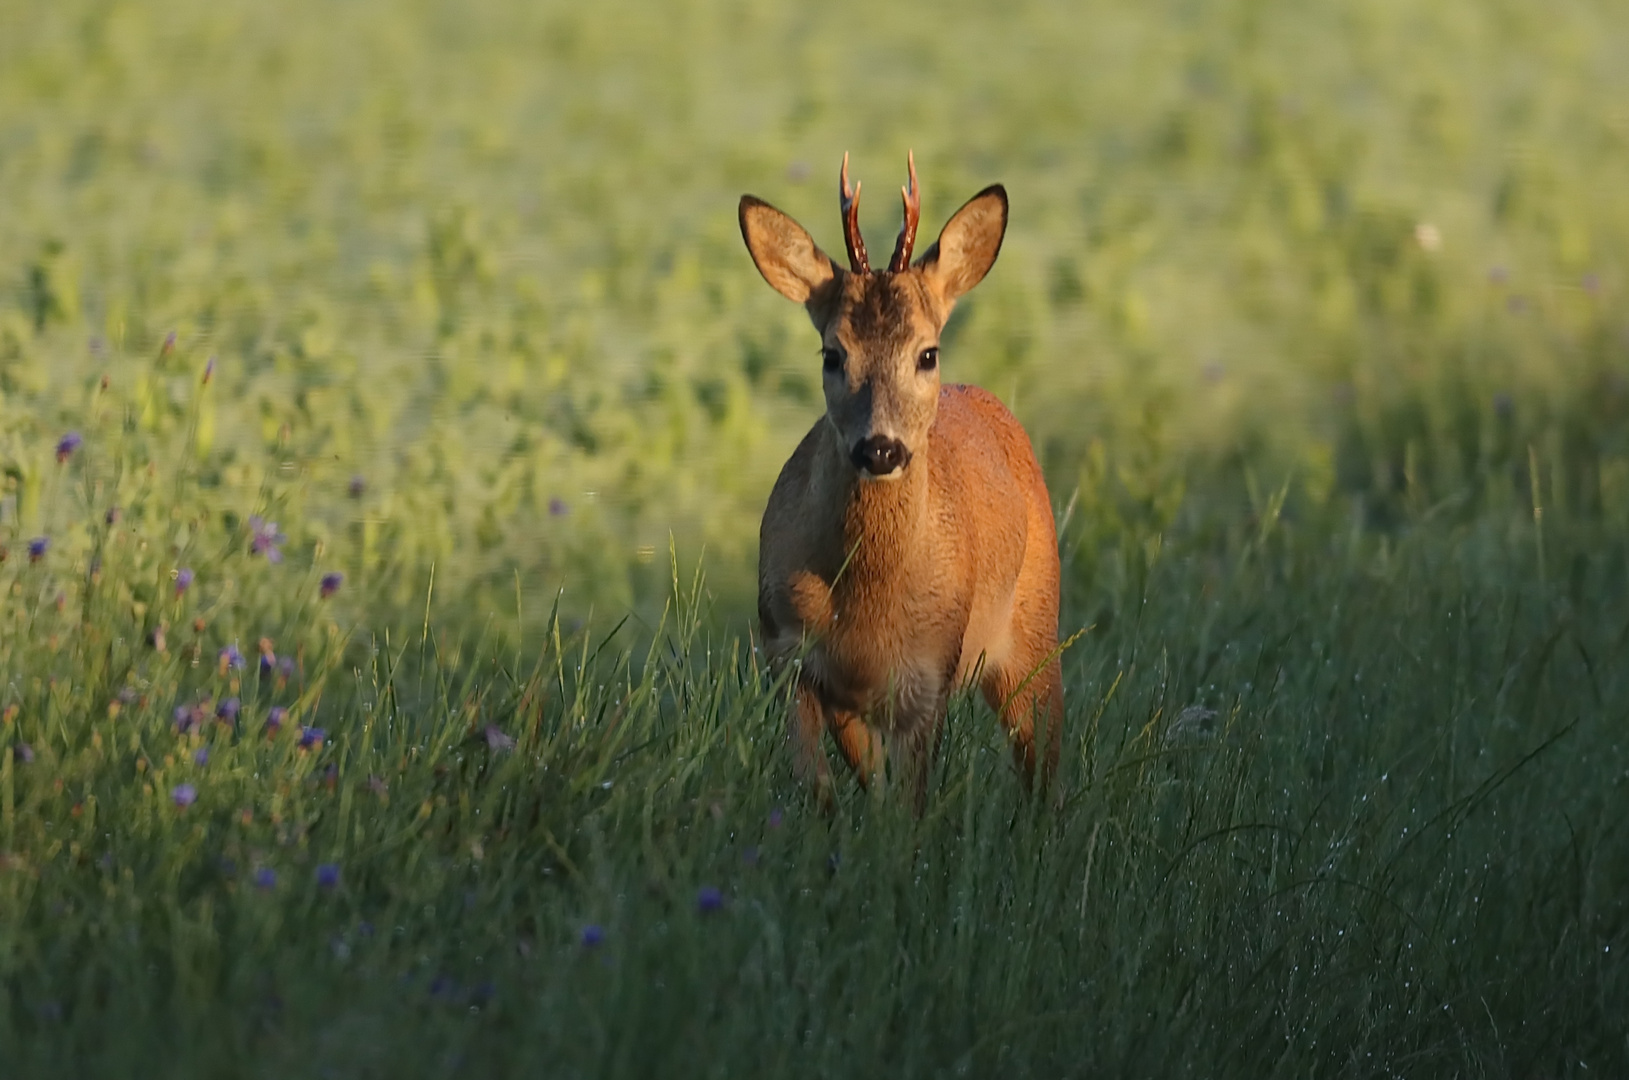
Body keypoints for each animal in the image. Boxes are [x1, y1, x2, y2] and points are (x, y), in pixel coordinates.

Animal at [742, 153, 1068, 811]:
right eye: (831, 354)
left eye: (927, 353)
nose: (880, 447)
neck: (867, 602)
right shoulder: (789, 656)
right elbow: (824, 791)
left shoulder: (928, 676)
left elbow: (908, 809)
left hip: (1034, 628)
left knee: (1046, 761)